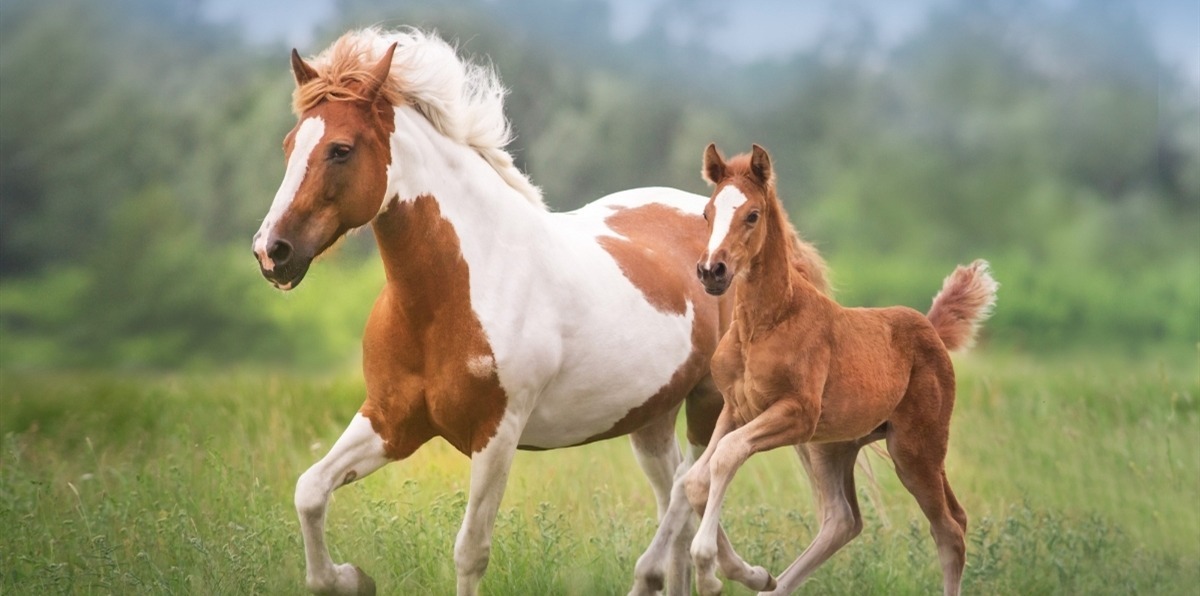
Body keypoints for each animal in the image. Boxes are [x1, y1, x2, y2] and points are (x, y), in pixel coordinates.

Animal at [253, 27, 830, 594]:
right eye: (287, 145)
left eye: (340, 149)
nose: (271, 251)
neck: (453, 294)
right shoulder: (391, 420)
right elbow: (310, 491)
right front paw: (351, 577)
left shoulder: (496, 435)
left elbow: (470, 552)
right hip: (652, 418)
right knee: (681, 495)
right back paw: (736, 572)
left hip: (708, 403)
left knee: (689, 492)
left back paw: (715, 573)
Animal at [676, 143, 993, 594]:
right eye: (707, 213)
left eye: (752, 215)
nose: (711, 271)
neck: (765, 324)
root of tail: (930, 328)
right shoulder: (737, 409)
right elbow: (695, 480)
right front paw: (747, 573)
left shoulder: (796, 414)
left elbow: (727, 456)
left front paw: (708, 566)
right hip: (834, 445)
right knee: (843, 521)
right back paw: (775, 586)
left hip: (915, 447)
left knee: (950, 528)